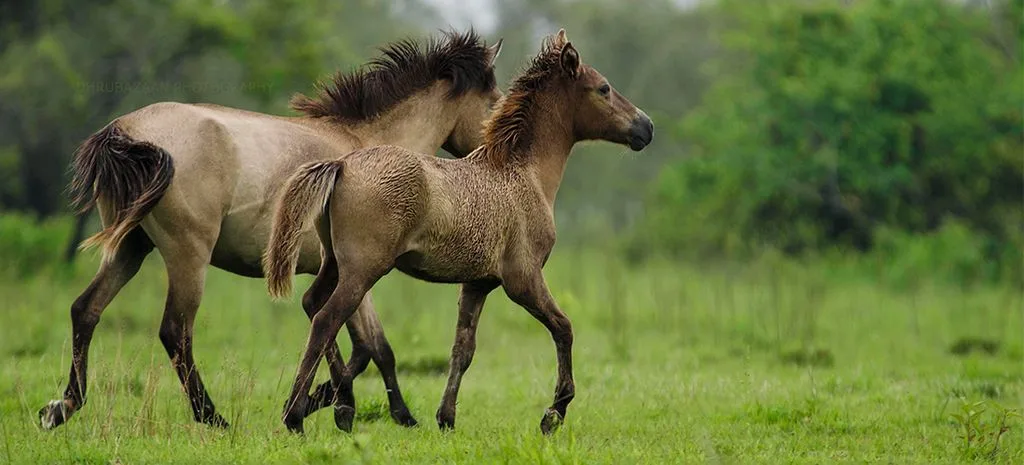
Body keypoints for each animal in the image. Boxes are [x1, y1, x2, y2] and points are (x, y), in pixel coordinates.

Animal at [39, 29, 503, 432]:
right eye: (494, 103)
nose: (490, 156)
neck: (367, 149)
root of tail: (126, 130)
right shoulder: (359, 272)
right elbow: (365, 346)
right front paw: (339, 408)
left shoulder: (341, 273)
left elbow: (367, 346)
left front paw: (360, 409)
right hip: (187, 255)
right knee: (175, 332)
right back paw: (212, 417)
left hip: (130, 248)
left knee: (86, 310)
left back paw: (62, 407)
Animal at [262, 29, 647, 434]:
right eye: (604, 88)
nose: (646, 127)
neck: (523, 172)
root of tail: (341, 166)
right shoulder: (523, 278)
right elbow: (564, 327)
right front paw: (553, 414)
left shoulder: (477, 283)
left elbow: (463, 349)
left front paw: (446, 417)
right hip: (362, 270)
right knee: (326, 320)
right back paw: (299, 416)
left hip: (333, 263)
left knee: (312, 304)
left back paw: (325, 406)